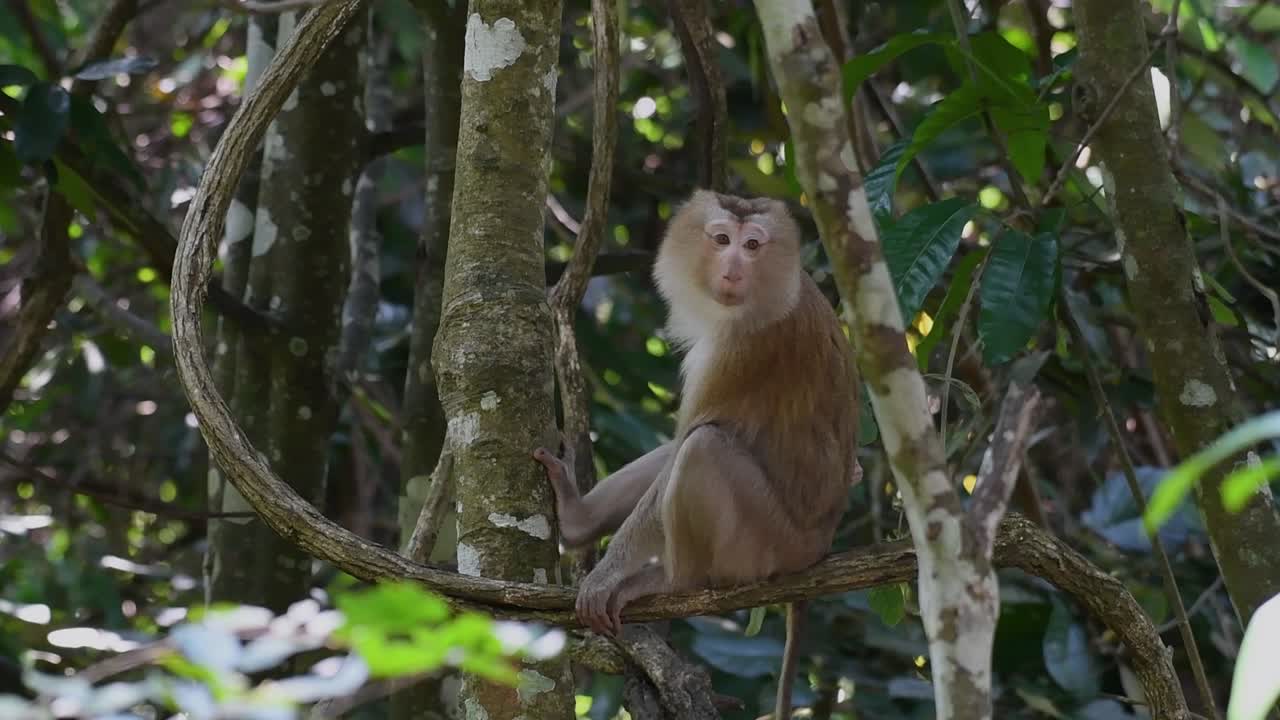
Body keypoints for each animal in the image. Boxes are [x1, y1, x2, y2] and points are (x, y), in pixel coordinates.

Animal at [533, 189, 861, 719]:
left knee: (700, 448)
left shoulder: (742, 351)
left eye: (753, 246)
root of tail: (819, 548)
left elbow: (690, 439)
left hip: (767, 545)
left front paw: (606, 575)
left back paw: (674, 581)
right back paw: (578, 518)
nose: (733, 268)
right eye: (723, 240)